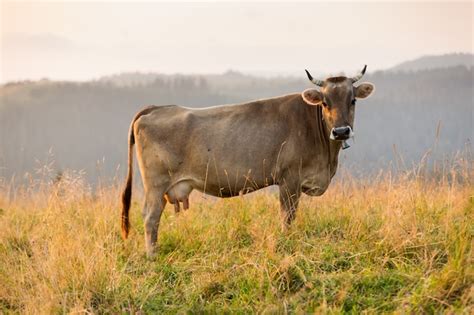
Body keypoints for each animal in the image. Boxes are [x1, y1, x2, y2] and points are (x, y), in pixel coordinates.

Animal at [121, 65, 374, 258]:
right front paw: (287, 242)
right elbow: (287, 216)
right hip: (156, 184)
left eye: (352, 100)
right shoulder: (289, 179)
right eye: (324, 102)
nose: (341, 131)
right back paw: (152, 256)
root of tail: (156, 108)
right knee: (150, 217)